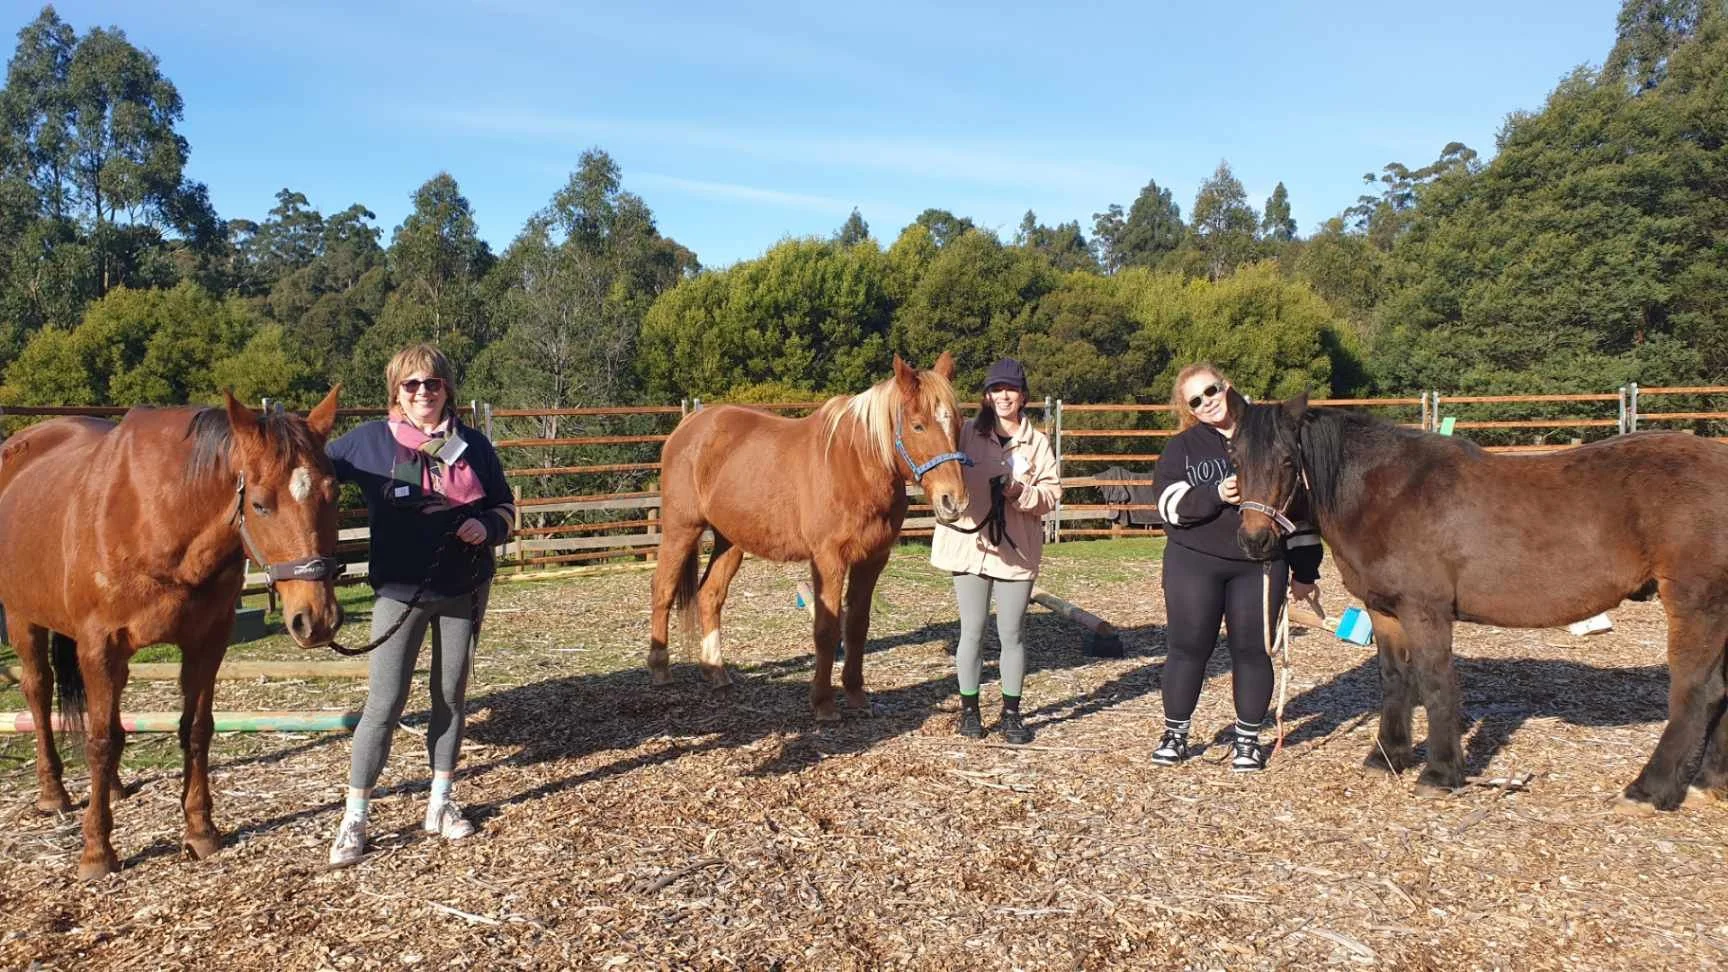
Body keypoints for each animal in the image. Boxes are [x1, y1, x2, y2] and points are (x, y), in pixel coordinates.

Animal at [0, 389, 346, 878]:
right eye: (260, 504)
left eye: (332, 494)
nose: (317, 619)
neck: (156, 517)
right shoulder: (99, 646)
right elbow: (98, 741)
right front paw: (96, 851)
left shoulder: (207, 642)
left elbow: (196, 730)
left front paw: (200, 830)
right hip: (22, 619)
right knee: (38, 688)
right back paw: (53, 794)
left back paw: (113, 786)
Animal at [649, 354, 971, 721]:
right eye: (918, 425)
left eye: (958, 423)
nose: (954, 501)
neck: (855, 466)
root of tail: (690, 424)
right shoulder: (828, 560)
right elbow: (827, 629)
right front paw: (823, 703)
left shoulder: (873, 559)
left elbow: (857, 625)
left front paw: (857, 695)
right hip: (681, 529)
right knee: (663, 590)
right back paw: (660, 669)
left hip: (729, 540)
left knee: (710, 596)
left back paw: (716, 672)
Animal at [1229, 392, 1728, 813]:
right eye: (1234, 458)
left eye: (1288, 460)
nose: (1254, 542)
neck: (1387, 493)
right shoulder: (1385, 612)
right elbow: (1394, 680)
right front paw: (1388, 756)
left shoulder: (1424, 611)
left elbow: (1435, 683)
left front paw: (1439, 773)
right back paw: (1706, 784)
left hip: (1697, 605)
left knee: (1694, 693)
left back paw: (1647, 790)